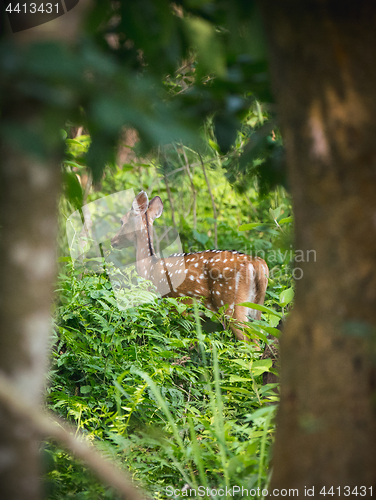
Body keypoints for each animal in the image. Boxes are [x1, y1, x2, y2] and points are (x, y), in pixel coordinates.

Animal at [110, 191, 268, 344]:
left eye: (122, 221)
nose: (113, 241)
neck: (149, 268)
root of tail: (257, 263)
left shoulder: (172, 304)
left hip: (230, 303)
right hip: (255, 306)